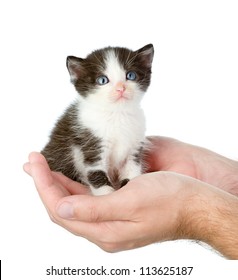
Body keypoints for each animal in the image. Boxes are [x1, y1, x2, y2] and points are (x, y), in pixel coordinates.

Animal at [42, 44, 154, 196]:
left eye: (131, 75)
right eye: (102, 80)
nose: (121, 88)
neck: (117, 114)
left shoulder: (135, 144)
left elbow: (132, 166)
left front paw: (130, 182)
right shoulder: (91, 141)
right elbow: (95, 168)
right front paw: (105, 192)